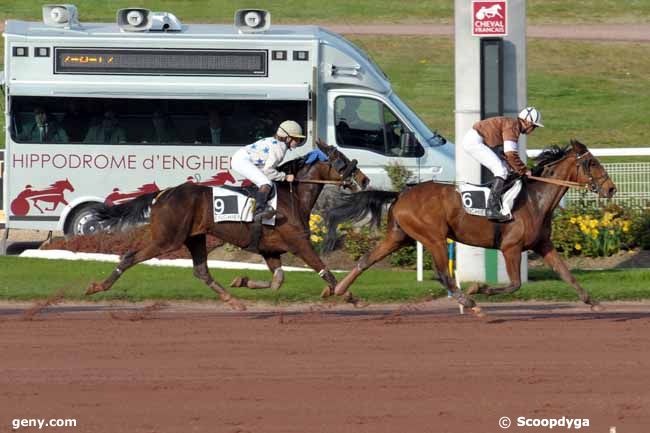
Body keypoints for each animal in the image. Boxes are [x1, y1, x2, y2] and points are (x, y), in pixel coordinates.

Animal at [86, 142, 370, 310]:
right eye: (341, 159)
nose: (365, 179)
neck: (292, 196)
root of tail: (163, 193)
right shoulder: (300, 243)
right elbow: (326, 272)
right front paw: (348, 295)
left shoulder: (270, 250)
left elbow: (277, 280)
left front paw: (241, 280)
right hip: (167, 239)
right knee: (130, 256)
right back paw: (98, 286)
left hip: (195, 237)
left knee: (201, 271)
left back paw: (231, 299)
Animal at [326, 140, 616, 312]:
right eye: (591, 162)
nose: (611, 188)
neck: (536, 199)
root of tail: (400, 194)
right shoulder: (511, 247)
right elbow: (514, 284)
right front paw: (479, 288)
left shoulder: (543, 245)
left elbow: (567, 274)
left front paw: (592, 302)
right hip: (434, 237)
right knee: (444, 274)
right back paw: (469, 301)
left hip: (399, 236)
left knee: (366, 259)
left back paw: (342, 291)